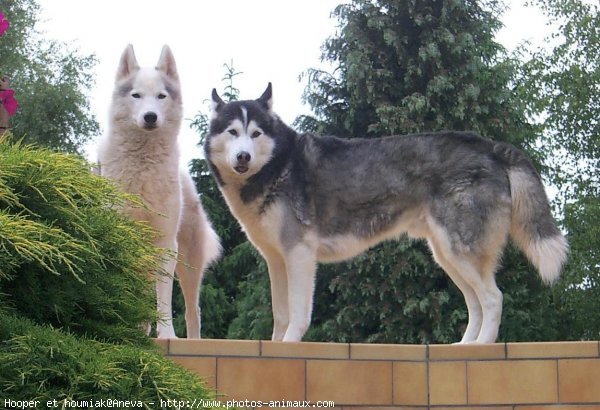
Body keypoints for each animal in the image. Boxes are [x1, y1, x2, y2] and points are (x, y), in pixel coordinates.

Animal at [98, 45, 220, 340]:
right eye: (136, 95)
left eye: (161, 96)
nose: (150, 116)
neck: (143, 166)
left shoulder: (166, 244)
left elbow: (164, 299)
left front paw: (167, 335)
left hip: (189, 263)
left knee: (193, 310)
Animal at [205, 83, 568, 342]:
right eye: (232, 132)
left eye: (255, 133)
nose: (243, 157)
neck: (277, 166)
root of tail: (489, 146)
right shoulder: (276, 260)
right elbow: (280, 315)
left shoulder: (300, 256)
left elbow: (297, 315)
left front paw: (290, 346)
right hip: (448, 256)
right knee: (476, 303)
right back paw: (464, 347)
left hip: (461, 251)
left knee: (493, 298)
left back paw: (481, 349)